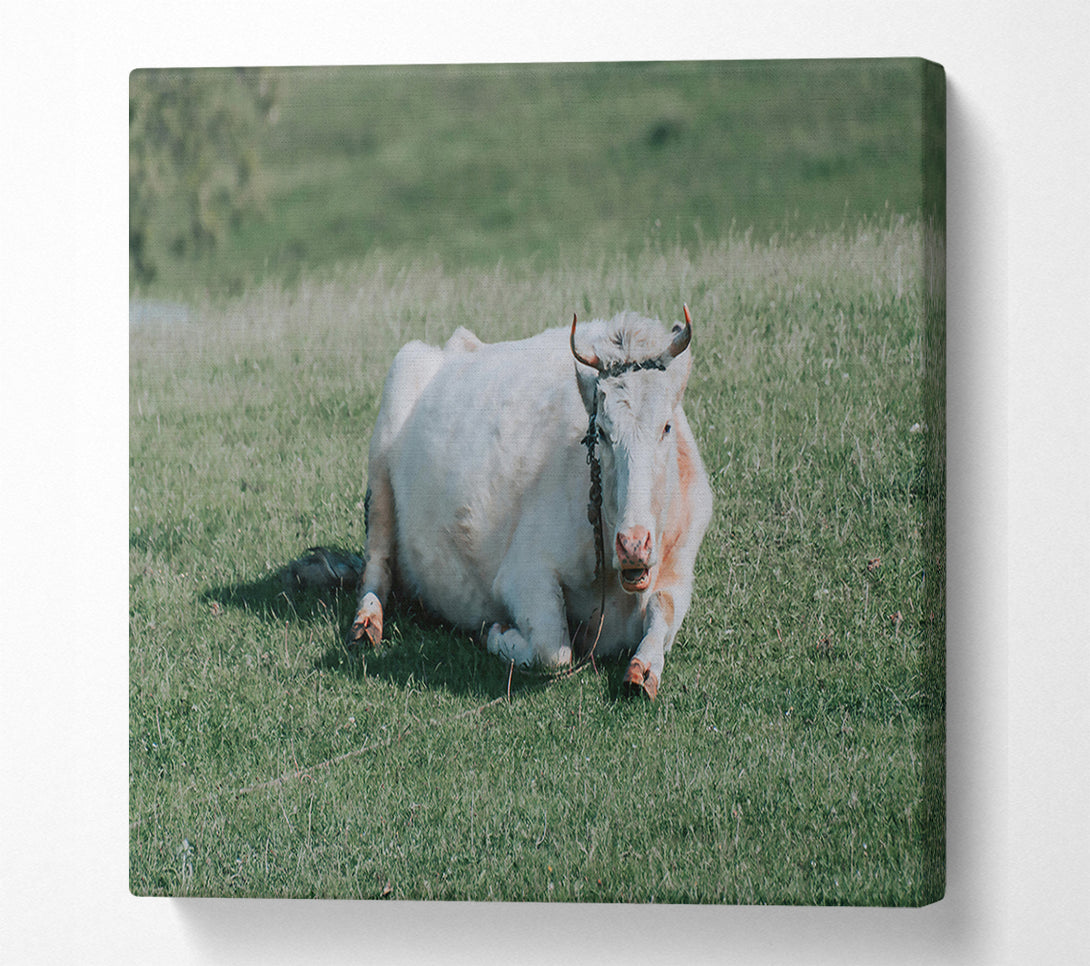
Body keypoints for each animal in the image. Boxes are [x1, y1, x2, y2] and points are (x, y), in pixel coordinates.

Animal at [348, 307, 713, 699]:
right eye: (600, 431)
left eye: (666, 427)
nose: (633, 545)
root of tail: (457, 345)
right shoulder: (522, 572)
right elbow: (553, 650)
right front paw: (494, 634)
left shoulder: (680, 566)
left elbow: (664, 609)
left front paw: (644, 670)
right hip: (382, 455)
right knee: (378, 564)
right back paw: (367, 622)